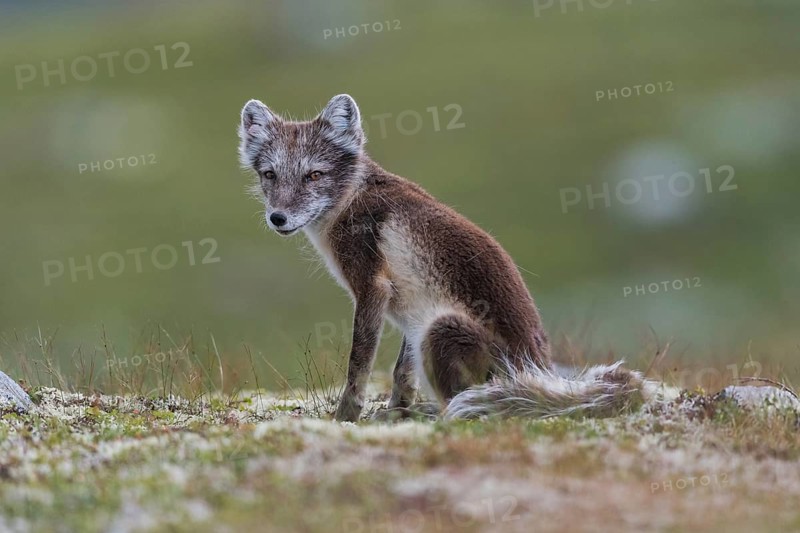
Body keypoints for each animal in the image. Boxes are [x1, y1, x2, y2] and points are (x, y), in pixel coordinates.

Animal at [238, 94, 663, 422]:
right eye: (270, 175)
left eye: (314, 175)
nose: (278, 218)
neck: (351, 199)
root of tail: (538, 371)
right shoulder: (406, 305)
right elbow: (401, 373)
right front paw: (396, 410)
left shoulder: (372, 288)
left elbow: (358, 366)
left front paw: (346, 418)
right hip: (429, 326)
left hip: (441, 329)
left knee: (454, 404)